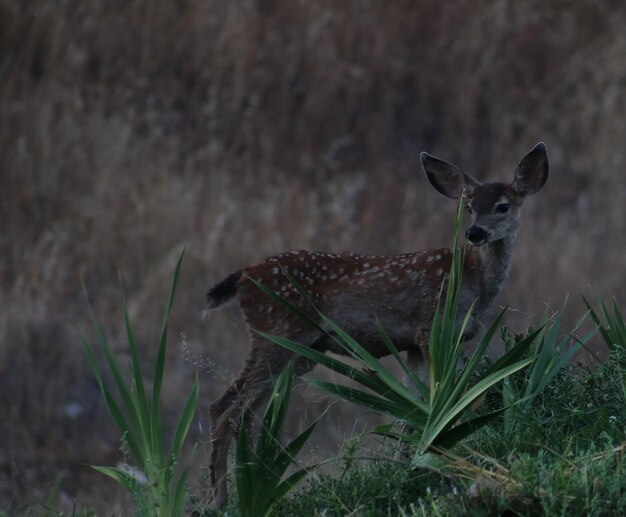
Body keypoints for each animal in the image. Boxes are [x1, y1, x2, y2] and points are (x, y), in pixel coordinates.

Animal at [205, 140, 544, 504]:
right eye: (468, 207)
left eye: (503, 206)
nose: (475, 232)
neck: (472, 280)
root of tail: (244, 275)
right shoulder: (432, 327)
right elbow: (432, 404)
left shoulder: (415, 344)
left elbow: (414, 411)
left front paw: (408, 466)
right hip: (278, 333)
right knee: (224, 409)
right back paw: (222, 501)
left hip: (295, 352)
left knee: (245, 412)